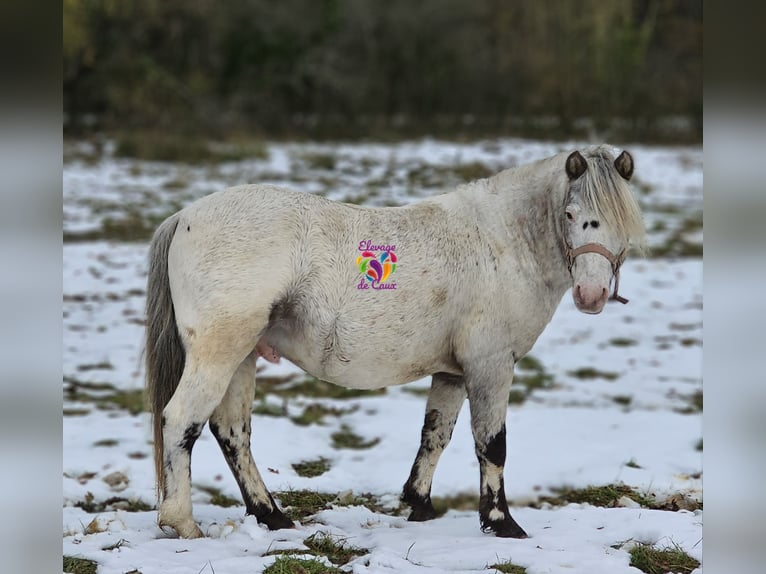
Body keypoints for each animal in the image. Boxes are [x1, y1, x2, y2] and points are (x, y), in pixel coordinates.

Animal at [146, 144, 648, 540]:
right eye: (570, 215)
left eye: (623, 221)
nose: (591, 295)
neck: (503, 242)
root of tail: (185, 216)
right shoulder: (490, 366)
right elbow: (492, 444)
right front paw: (501, 522)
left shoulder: (452, 371)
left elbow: (435, 435)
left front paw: (419, 504)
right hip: (219, 354)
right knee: (182, 421)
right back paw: (181, 522)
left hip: (243, 356)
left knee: (232, 434)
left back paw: (271, 516)